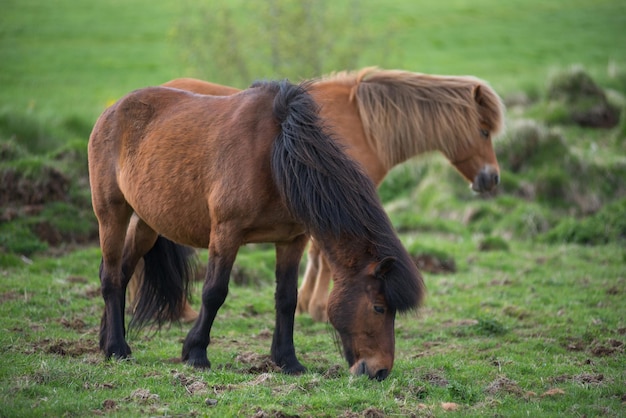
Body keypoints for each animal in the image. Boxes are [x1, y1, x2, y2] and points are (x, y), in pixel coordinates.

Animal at [88, 80, 424, 380]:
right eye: (379, 308)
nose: (380, 371)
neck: (276, 157)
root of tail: (113, 110)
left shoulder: (292, 240)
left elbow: (287, 298)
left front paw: (288, 361)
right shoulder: (226, 233)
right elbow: (214, 292)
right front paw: (195, 353)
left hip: (147, 224)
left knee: (123, 272)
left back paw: (107, 340)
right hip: (112, 212)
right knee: (110, 276)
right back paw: (117, 348)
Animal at [127, 68, 502, 324]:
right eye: (484, 131)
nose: (492, 179)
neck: (363, 126)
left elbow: (315, 255)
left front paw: (308, 304)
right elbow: (323, 256)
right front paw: (319, 308)